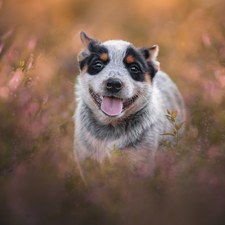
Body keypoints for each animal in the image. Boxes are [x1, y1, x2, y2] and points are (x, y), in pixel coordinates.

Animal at [74, 31, 185, 176]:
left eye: (134, 68)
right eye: (98, 64)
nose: (114, 84)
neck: (110, 130)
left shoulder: (139, 163)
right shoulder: (87, 160)